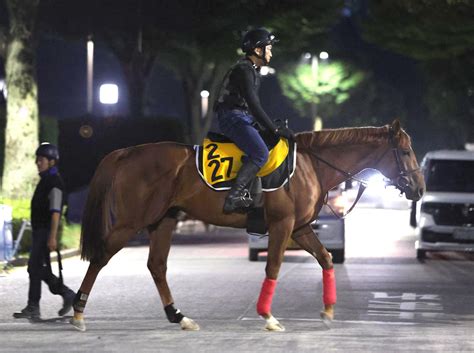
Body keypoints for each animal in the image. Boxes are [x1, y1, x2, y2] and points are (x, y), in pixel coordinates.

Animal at [69, 119, 426, 332]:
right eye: (406, 150)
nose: (419, 189)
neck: (310, 164)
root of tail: (127, 152)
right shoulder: (282, 226)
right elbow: (274, 267)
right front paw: (268, 316)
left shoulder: (300, 228)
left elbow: (325, 259)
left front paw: (327, 311)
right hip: (131, 222)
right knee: (100, 258)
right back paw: (78, 313)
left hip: (163, 220)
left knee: (156, 265)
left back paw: (179, 316)